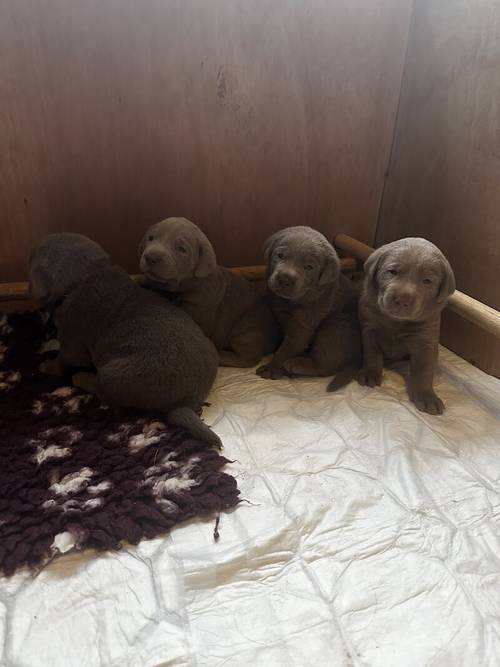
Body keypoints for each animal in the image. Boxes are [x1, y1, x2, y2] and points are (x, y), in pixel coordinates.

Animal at [28, 234, 221, 448]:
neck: (87, 276)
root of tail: (189, 400)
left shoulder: (72, 343)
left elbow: (63, 361)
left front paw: (47, 366)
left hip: (113, 374)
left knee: (105, 393)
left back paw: (81, 378)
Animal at [139, 218, 280, 366]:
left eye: (181, 249)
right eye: (151, 238)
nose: (151, 257)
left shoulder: (198, 310)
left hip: (247, 331)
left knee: (248, 358)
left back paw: (219, 354)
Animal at [258, 226, 360, 380]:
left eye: (309, 267)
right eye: (280, 255)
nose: (285, 279)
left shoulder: (305, 323)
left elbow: (288, 347)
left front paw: (272, 367)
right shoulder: (278, 310)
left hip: (339, 325)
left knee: (325, 365)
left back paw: (297, 365)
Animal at [358, 237, 456, 414]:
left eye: (427, 281)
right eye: (392, 272)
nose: (402, 299)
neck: (396, 321)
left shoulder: (425, 341)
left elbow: (424, 370)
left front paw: (427, 397)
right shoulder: (369, 327)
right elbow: (372, 353)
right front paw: (370, 373)